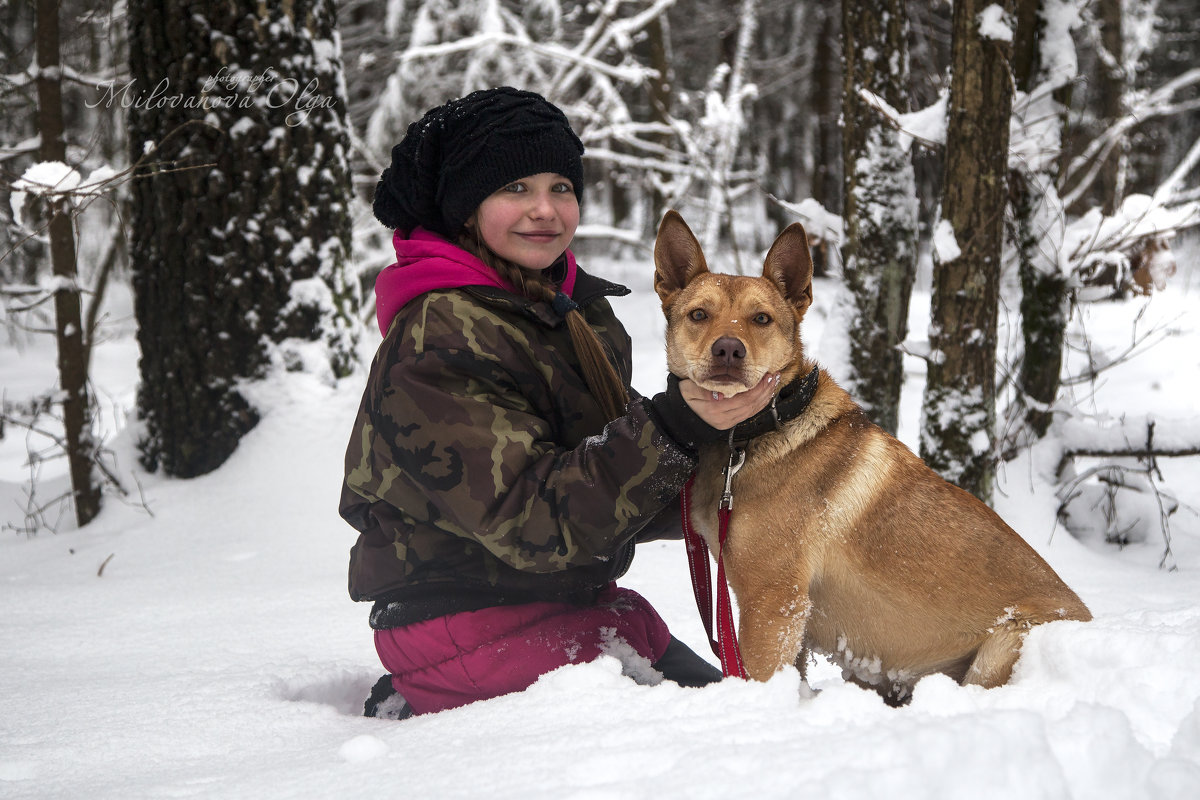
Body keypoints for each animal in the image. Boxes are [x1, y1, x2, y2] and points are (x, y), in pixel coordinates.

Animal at [652, 209, 1094, 705]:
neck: (748, 438)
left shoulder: (774, 599)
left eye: (761, 319)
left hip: (1002, 646)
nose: (728, 349)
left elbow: (760, 674)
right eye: (699, 315)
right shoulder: (784, 610)